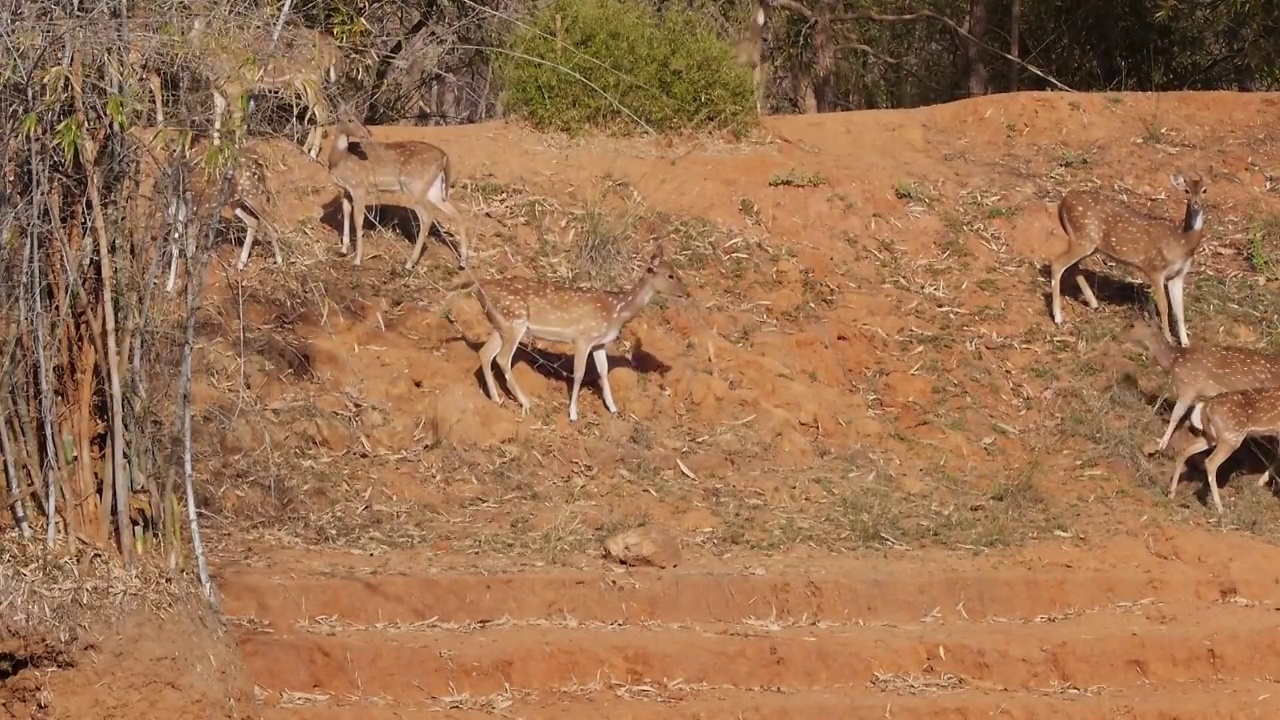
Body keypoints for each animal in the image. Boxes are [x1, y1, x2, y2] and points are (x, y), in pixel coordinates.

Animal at [453, 244, 691, 420]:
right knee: (502, 358)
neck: (617, 311)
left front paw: (613, 408)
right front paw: (573, 414)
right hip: (514, 321)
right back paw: (526, 402)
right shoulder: (583, 338)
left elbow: (604, 372)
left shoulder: (599, 343)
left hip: (501, 324)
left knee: (485, 353)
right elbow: (579, 373)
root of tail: (478, 287)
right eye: (671, 275)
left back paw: (496, 398)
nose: (686, 293)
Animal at [1049, 169, 1208, 345]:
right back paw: (1058, 317)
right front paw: (1167, 339)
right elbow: (1163, 307)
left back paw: (1094, 303)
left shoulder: (1178, 275)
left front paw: (1185, 343)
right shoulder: (1154, 268)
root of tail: (1062, 203)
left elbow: (1179, 310)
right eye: (1186, 191)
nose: (1196, 205)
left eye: (1204, 190)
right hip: (1082, 238)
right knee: (1056, 263)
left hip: (1088, 243)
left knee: (1073, 266)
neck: (1181, 241)